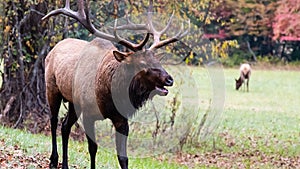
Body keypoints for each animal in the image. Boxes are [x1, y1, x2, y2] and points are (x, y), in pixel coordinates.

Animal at [41, 0, 190, 169]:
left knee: (65, 126)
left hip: (73, 103)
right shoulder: (88, 114)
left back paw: (64, 164)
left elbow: (123, 157)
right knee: (54, 120)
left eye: (158, 61)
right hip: (52, 88)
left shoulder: (121, 119)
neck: (109, 96)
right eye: (142, 63)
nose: (169, 79)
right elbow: (93, 148)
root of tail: (54, 48)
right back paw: (53, 160)